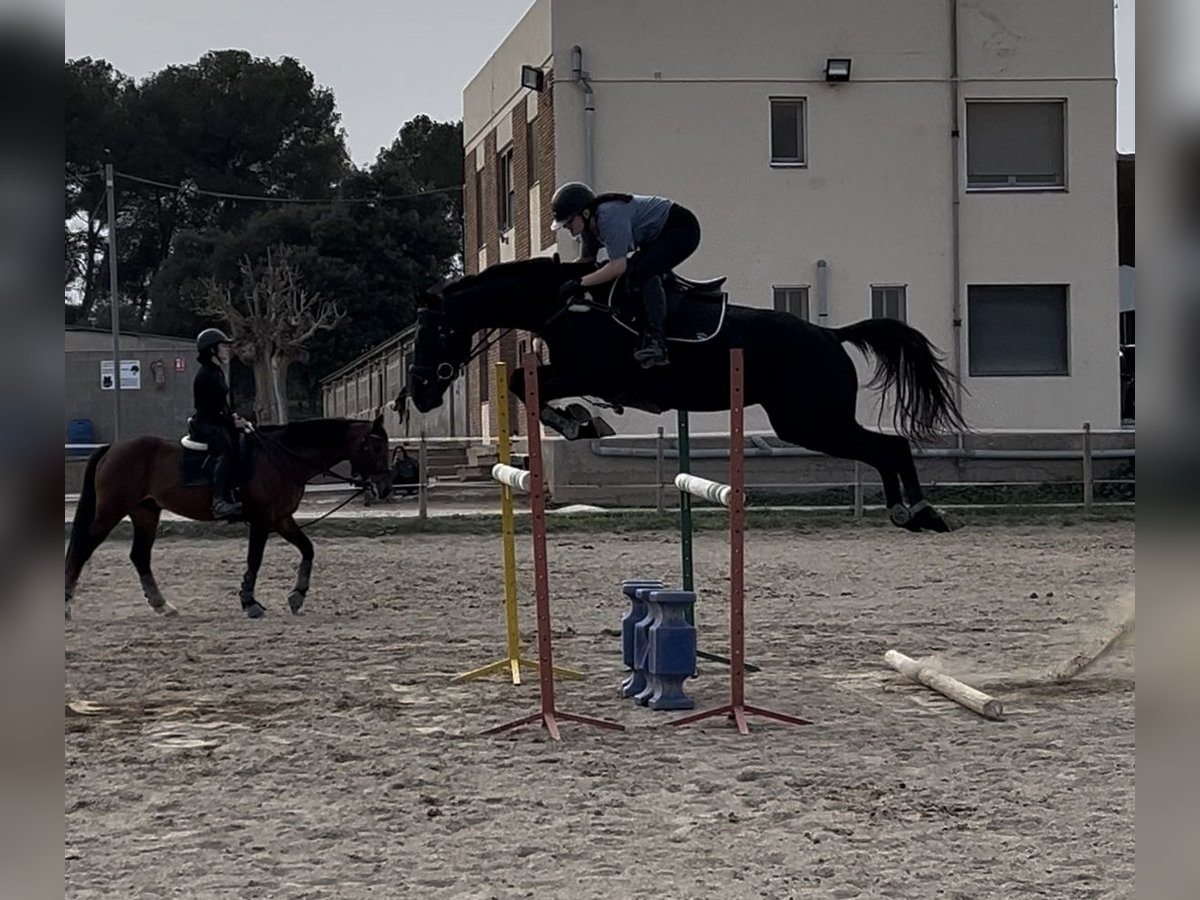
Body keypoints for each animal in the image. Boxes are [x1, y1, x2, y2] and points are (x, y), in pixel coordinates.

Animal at [64, 417, 393, 619]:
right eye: (375, 446)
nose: (385, 487)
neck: (283, 457)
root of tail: (114, 448)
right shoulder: (262, 520)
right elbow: (254, 560)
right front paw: (250, 603)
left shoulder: (281, 518)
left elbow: (308, 549)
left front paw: (297, 596)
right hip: (110, 512)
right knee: (83, 548)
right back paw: (66, 604)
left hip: (145, 512)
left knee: (140, 556)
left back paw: (163, 605)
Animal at [408, 256, 969, 532]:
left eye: (433, 332)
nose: (417, 396)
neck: (566, 304)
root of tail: (831, 335)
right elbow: (520, 384)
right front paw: (577, 420)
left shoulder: (590, 371)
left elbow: (521, 384)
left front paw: (575, 422)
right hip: (809, 421)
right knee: (885, 447)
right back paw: (909, 513)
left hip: (811, 420)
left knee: (888, 446)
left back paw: (922, 512)